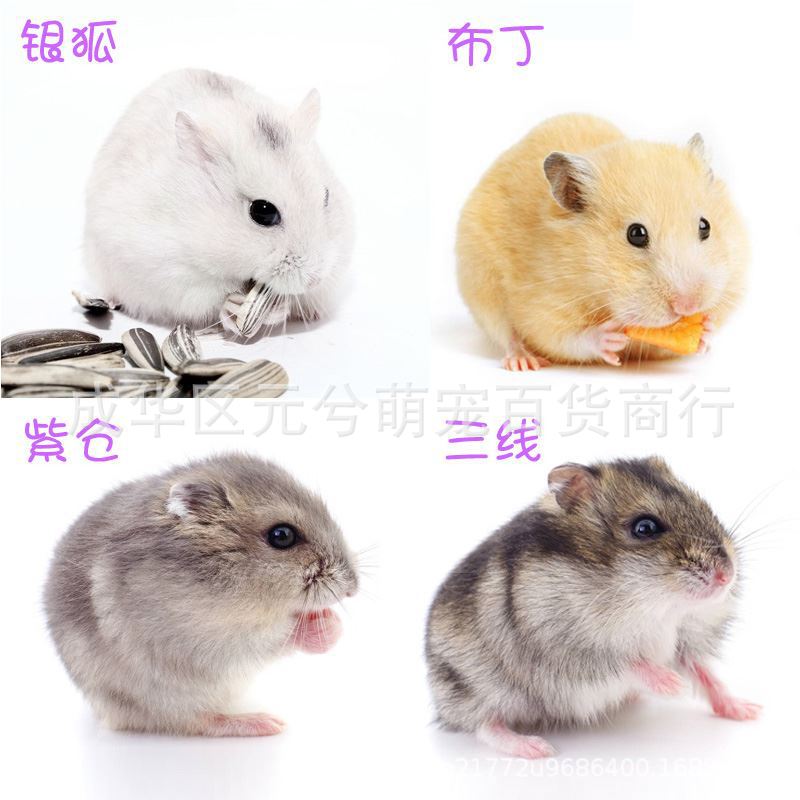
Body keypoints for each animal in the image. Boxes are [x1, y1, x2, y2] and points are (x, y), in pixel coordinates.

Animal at [44, 453, 359, 737]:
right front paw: (329, 627)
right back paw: (265, 723)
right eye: (282, 536)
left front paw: (329, 619)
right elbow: (274, 637)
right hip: (158, 700)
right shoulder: (199, 641)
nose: (353, 588)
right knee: (199, 721)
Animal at [83, 68, 354, 333]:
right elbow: (213, 297)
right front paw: (237, 306)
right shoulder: (168, 269)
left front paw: (285, 308)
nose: (315, 280)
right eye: (263, 212)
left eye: (326, 196)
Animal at [425, 457, 759, 759]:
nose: (726, 575)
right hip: (474, 688)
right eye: (645, 527)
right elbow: (628, 661)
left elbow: (705, 674)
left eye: (702, 504)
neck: (656, 605)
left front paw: (750, 711)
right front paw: (672, 685)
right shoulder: (566, 646)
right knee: (484, 724)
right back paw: (536, 748)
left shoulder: (685, 642)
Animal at [456, 114, 748, 369]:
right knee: (506, 334)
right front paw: (608, 336)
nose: (688, 306)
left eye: (705, 226)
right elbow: (564, 338)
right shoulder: (541, 306)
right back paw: (523, 362)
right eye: (636, 234)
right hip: (480, 280)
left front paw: (706, 329)